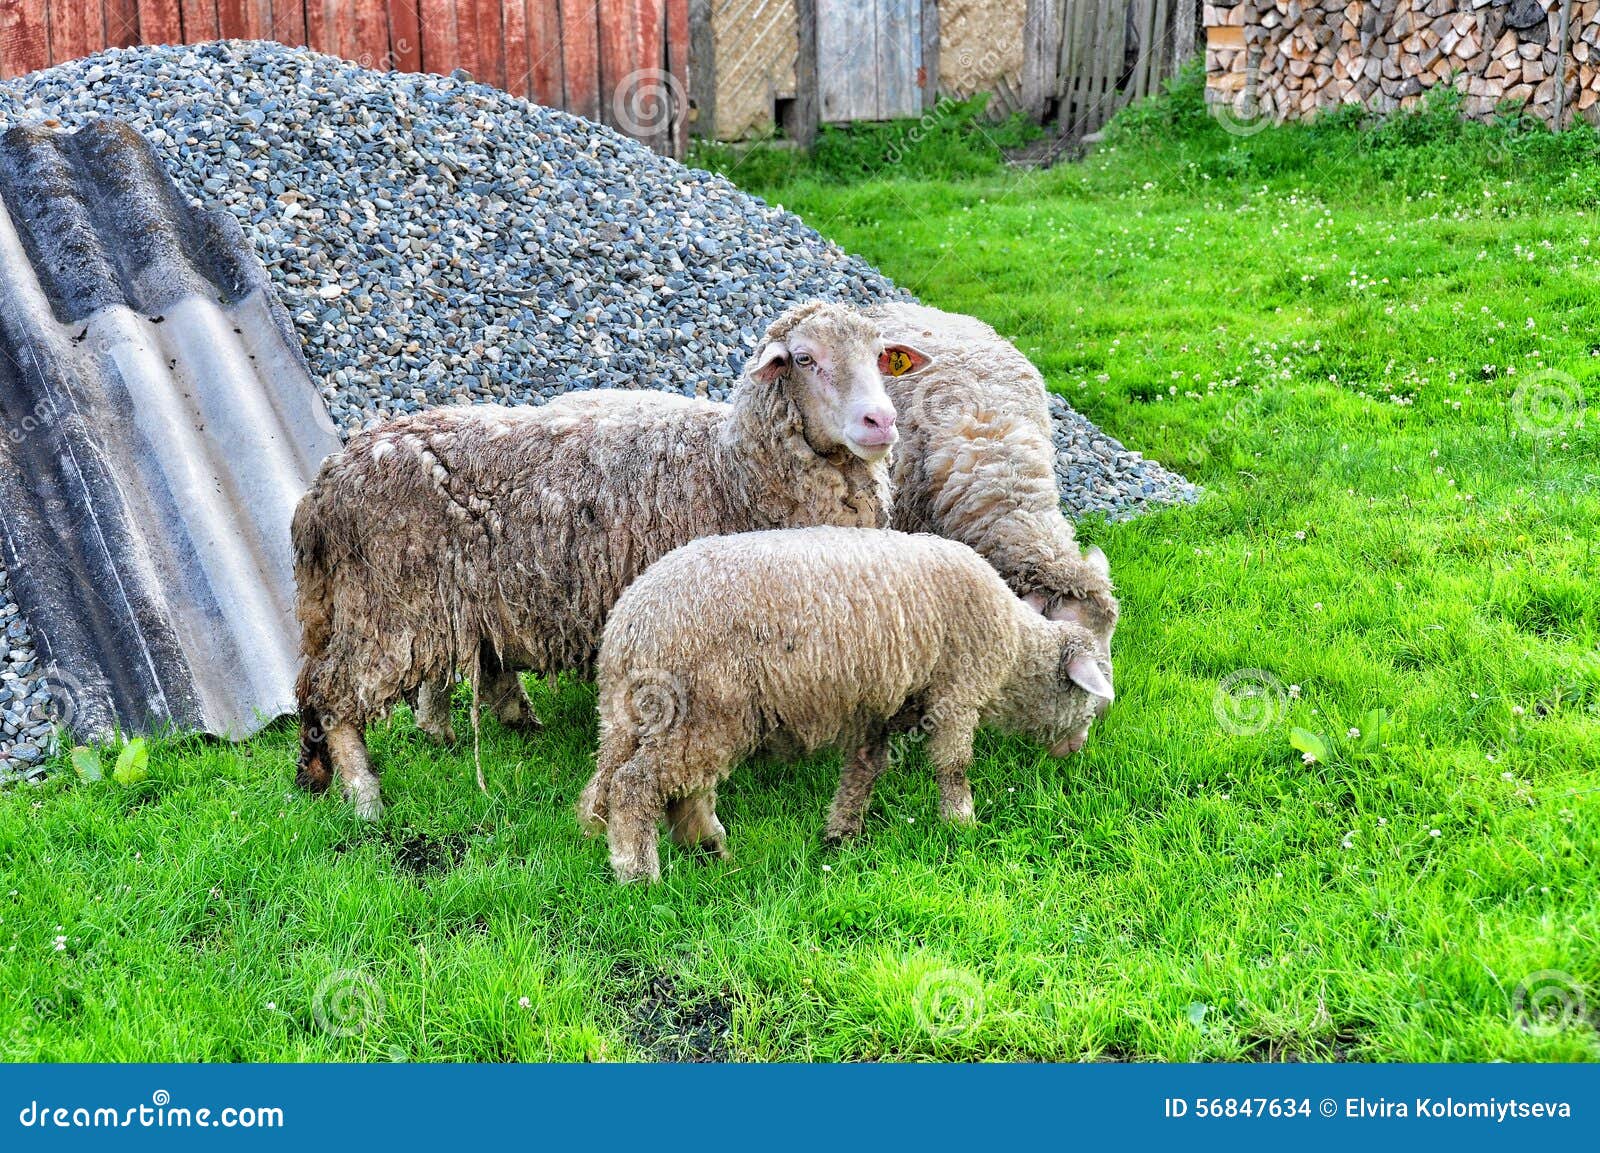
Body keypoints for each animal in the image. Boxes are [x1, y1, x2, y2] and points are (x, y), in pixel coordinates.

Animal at [293, 301, 932, 819]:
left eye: (880, 358)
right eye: (804, 358)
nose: (881, 422)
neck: (732, 470)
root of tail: (326, 483)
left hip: (444, 596)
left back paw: (469, 731)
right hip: (387, 604)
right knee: (334, 695)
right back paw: (365, 797)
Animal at [576, 526, 1114, 883]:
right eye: (1087, 701)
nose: (1078, 749)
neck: (1012, 647)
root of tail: (631, 625)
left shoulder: (877, 706)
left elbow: (864, 769)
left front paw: (843, 833)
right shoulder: (957, 694)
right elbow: (954, 764)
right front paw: (961, 824)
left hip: (641, 718)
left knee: (643, 784)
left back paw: (703, 847)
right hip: (706, 709)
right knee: (636, 786)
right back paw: (640, 874)